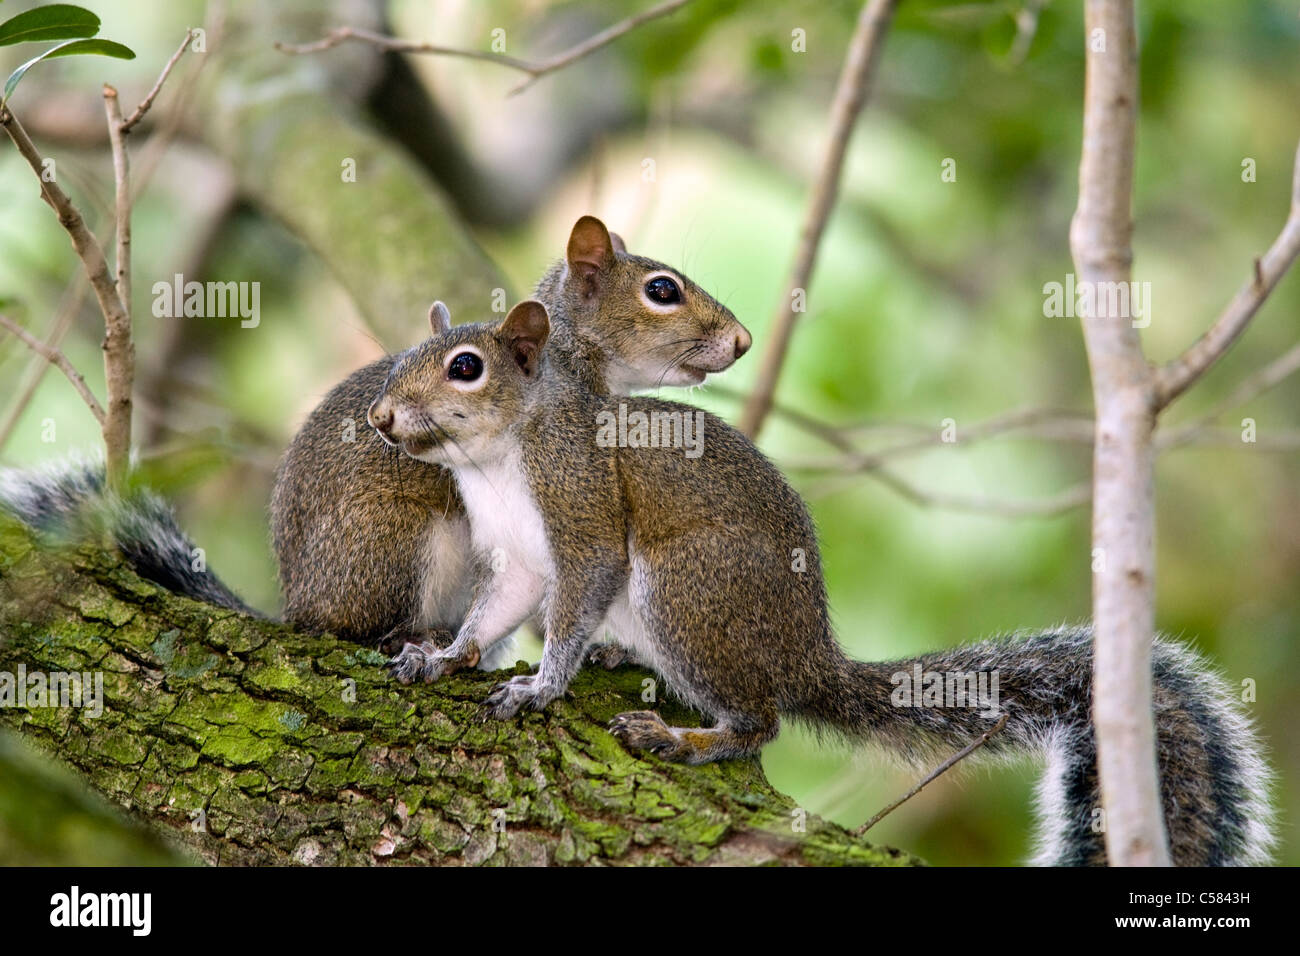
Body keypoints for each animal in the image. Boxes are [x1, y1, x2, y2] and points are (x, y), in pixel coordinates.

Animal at [361, 299, 1274, 868]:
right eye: (403, 359)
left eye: (466, 368)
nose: (380, 417)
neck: (499, 458)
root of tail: (808, 656)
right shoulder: (518, 558)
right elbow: (494, 612)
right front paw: (443, 656)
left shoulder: (582, 509)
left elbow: (578, 591)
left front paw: (542, 684)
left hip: (689, 591)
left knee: (760, 721)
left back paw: (688, 737)